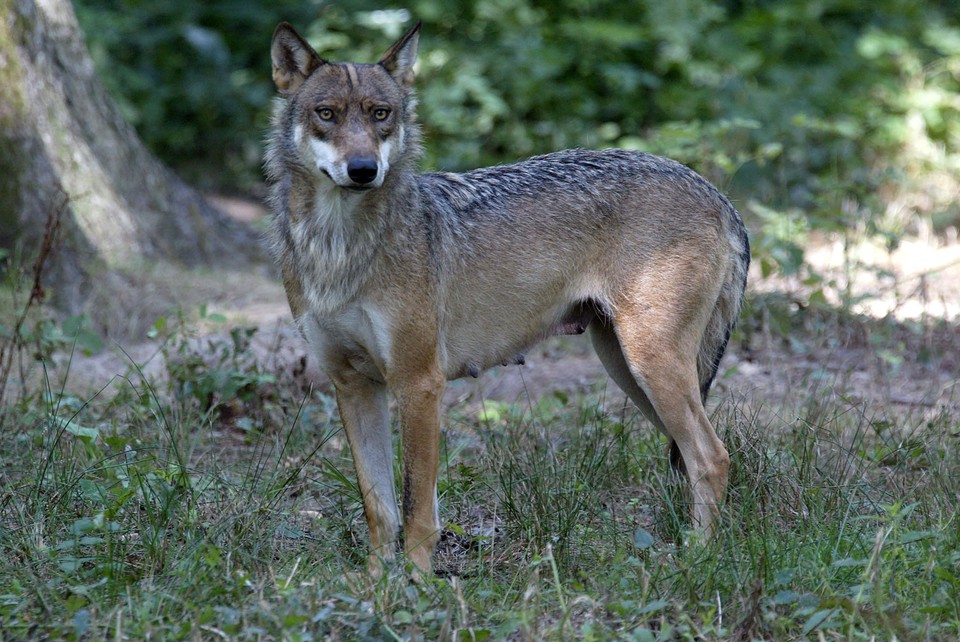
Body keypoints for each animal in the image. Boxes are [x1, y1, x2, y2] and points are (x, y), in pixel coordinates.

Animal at [264, 20, 752, 576]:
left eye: (380, 114)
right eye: (327, 114)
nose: (364, 169)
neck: (338, 246)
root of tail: (717, 194)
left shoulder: (419, 385)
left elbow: (416, 510)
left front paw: (417, 586)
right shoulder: (353, 386)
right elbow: (379, 509)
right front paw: (374, 585)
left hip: (652, 367)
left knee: (712, 457)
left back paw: (698, 558)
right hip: (632, 374)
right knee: (694, 458)